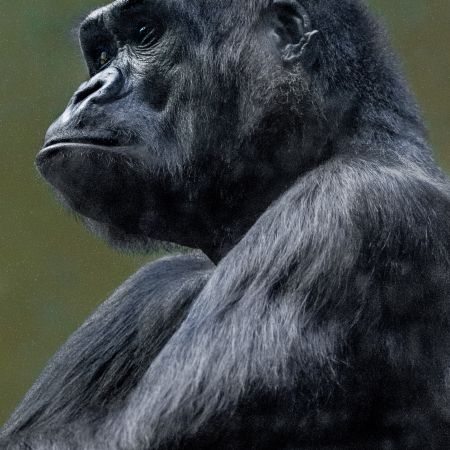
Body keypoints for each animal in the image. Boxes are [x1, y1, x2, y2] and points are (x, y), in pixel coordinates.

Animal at [0, 0, 450, 448]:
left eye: (145, 32)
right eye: (102, 54)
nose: (89, 90)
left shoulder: (344, 211)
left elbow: (130, 436)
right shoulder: (153, 286)